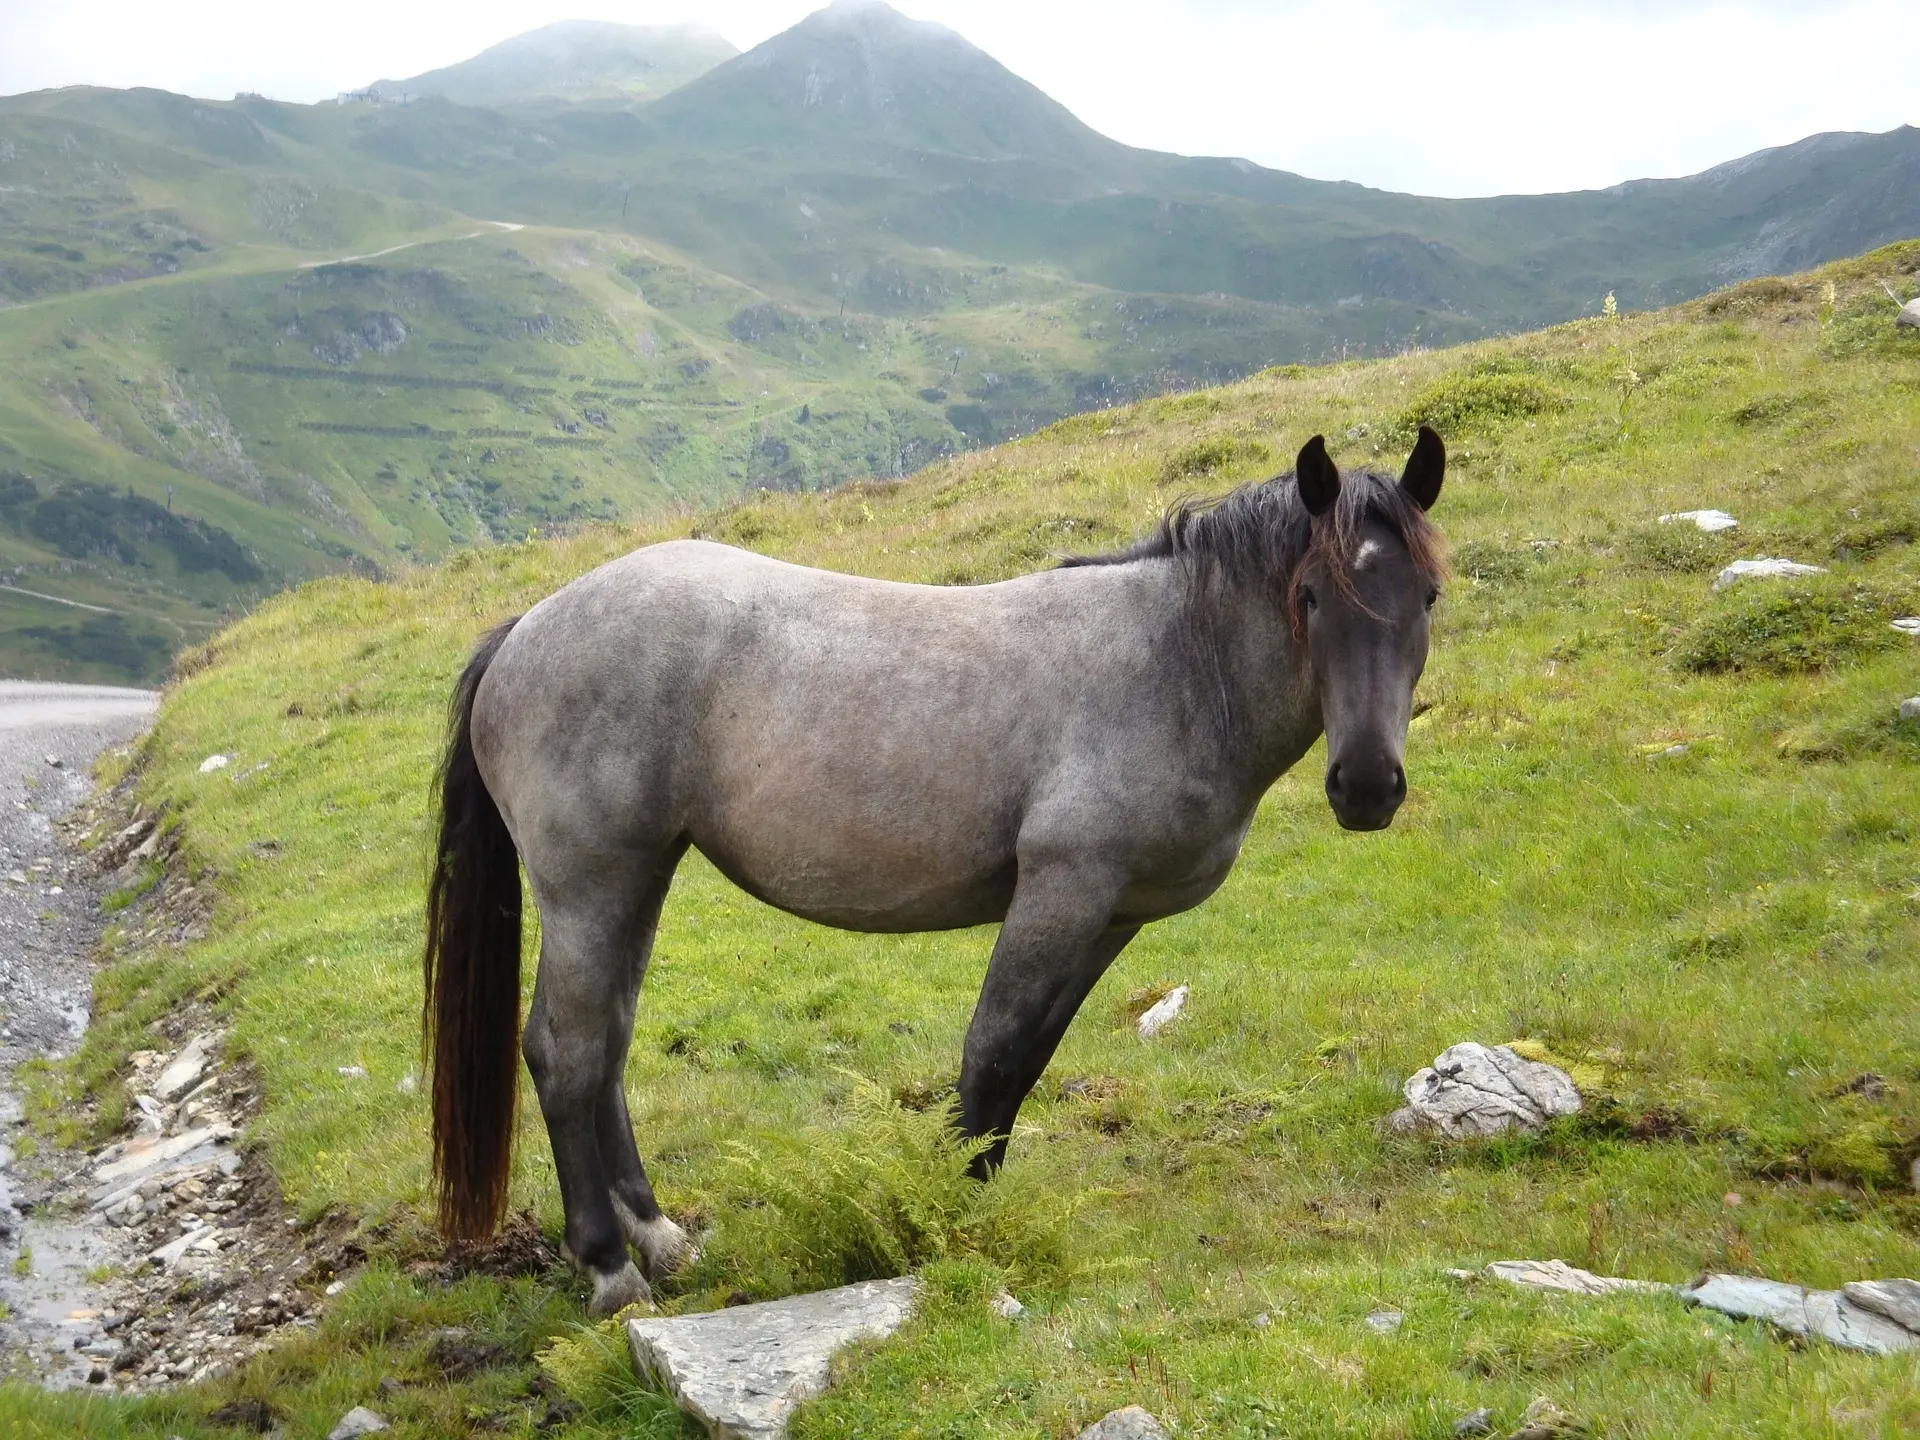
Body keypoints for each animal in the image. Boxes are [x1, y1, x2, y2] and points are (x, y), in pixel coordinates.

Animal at [420, 422, 1443, 1313]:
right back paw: (609, 1269)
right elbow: (991, 1056)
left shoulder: (1110, 917)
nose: (1366, 785)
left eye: (1427, 599)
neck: (1173, 666)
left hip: (640, 878)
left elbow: (1024, 1066)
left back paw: (660, 1238)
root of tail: (526, 627)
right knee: (566, 1052)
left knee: (609, 1046)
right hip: (591, 887)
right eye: (1310, 597)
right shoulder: (1061, 892)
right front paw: (943, 1226)